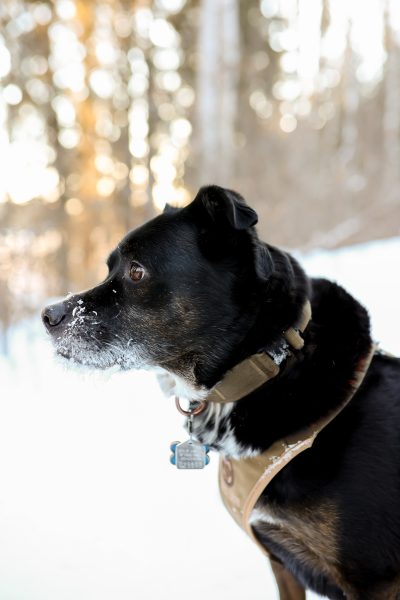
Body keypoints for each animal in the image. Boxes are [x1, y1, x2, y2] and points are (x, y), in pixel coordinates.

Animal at [42, 185, 400, 599]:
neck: (272, 363)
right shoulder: (282, 563)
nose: (48, 316)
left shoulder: (374, 579)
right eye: (109, 268)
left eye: (136, 271)